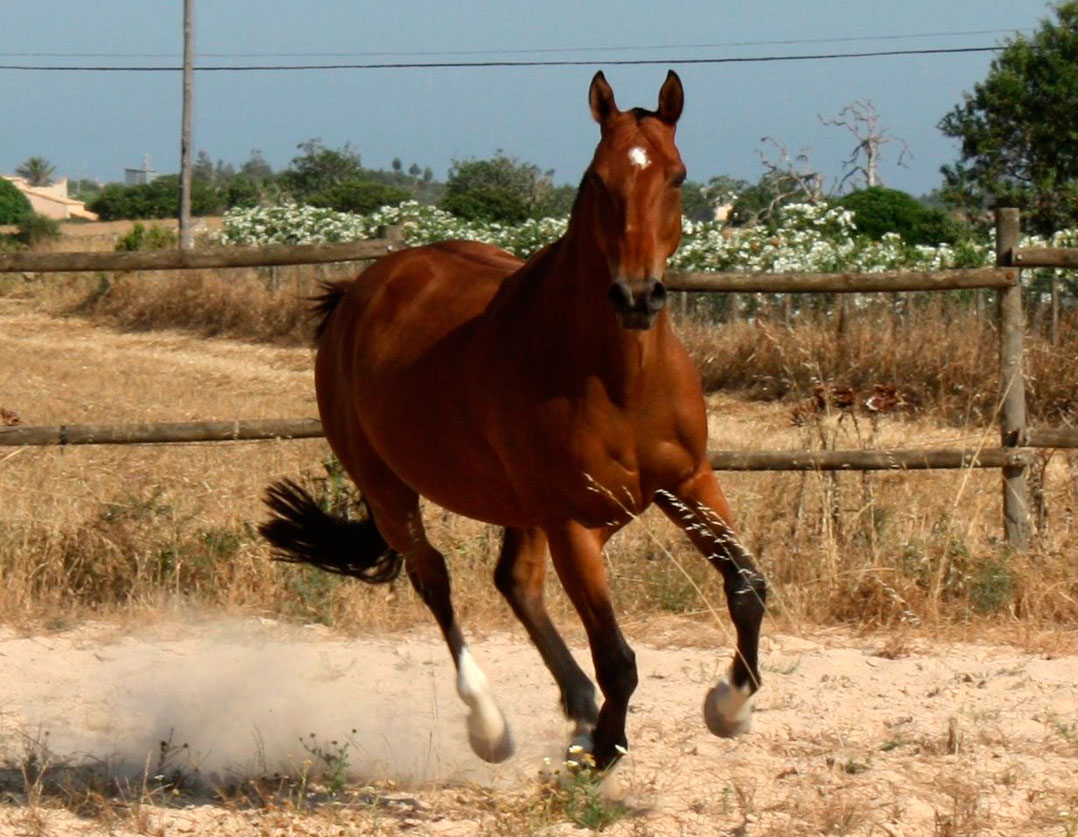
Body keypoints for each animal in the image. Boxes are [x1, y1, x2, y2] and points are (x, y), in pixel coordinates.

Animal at [260, 68, 767, 767]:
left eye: (677, 175)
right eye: (598, 179)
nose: (637, 296)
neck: (620, 379)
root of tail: (359, 291)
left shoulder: (687, 483)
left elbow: (746, 587)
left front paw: (727, 709)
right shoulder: (574, 525)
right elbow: (618, 658)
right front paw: (600, 757)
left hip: (525, 507)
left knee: (515, 583)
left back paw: (577, 710)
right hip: (390, 488)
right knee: (434, 579)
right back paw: (491, 724)